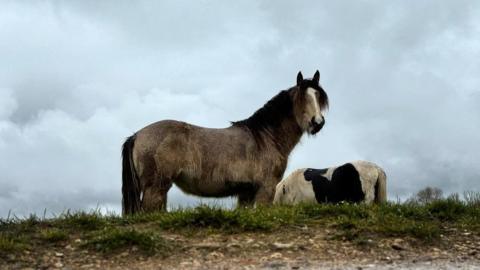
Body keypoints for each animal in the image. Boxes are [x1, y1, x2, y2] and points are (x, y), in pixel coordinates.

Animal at [122, 70, 328, 214]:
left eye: (318, 96)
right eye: (301, 98)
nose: (317, 122)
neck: (265, 137)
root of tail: (137, 135)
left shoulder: (246, 193)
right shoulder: (266, 188)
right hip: (156, 187)